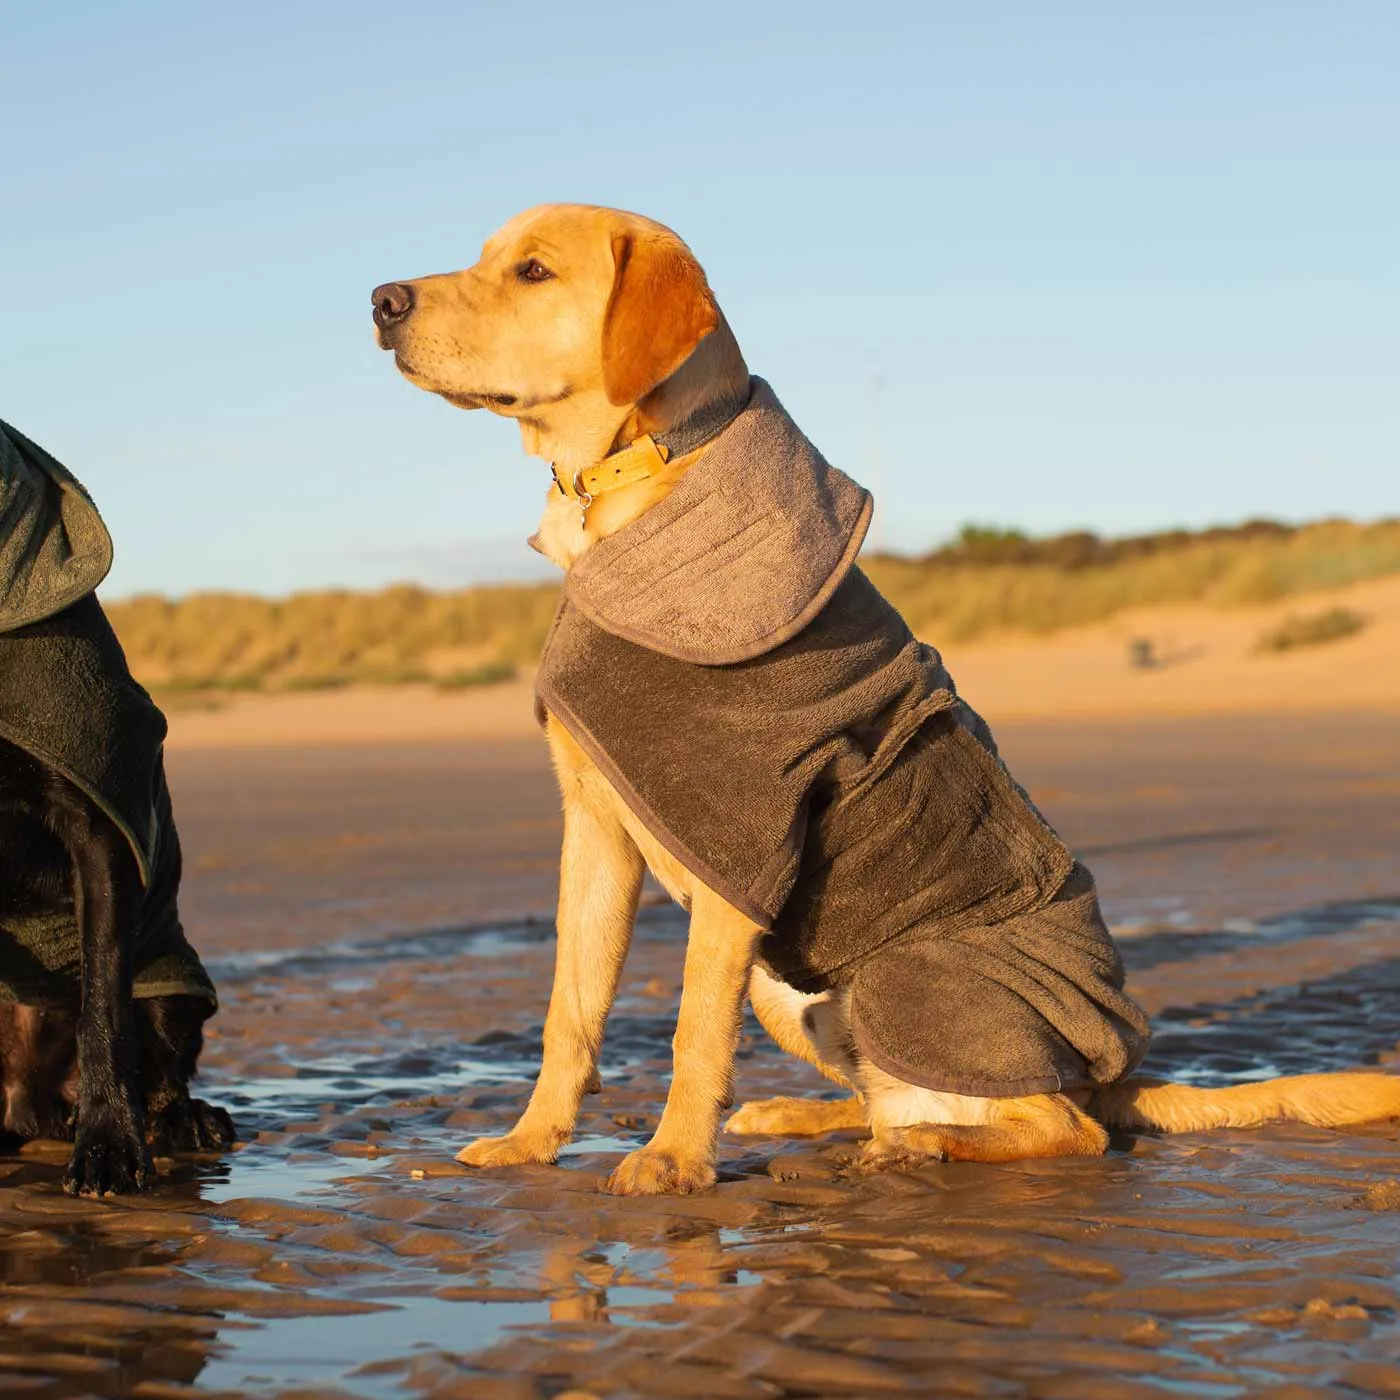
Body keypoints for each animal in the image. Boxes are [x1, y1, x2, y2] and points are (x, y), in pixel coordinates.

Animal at [0, 420, 232, 1198]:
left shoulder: (98, 827)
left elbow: (103, 1008)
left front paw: (108, 1146)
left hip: (172, 983)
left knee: (160, 1063)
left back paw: (184, 1121)